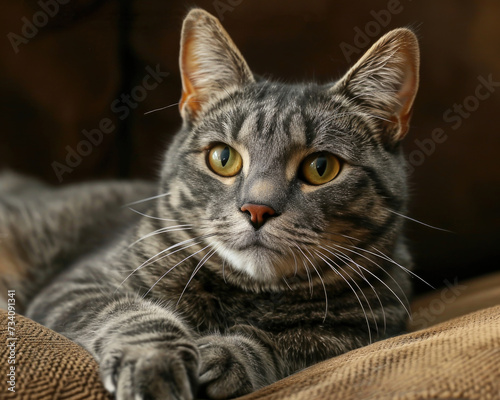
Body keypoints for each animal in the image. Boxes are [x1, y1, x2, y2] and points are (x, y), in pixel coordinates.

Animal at [0, 8, 418, 400]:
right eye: (223, 158)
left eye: (321, 167)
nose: (257, 209)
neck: (246, 295)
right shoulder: (79, 282)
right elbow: (130, 313)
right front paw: (155, 359)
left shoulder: (372, 324)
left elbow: (295, 343)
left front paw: (228, 354)